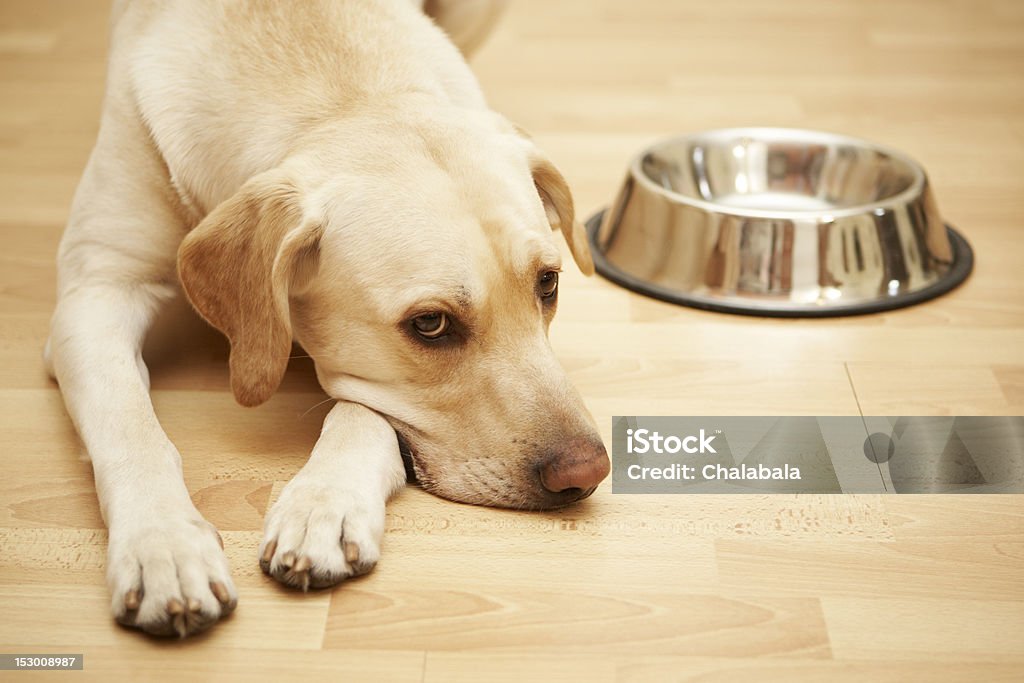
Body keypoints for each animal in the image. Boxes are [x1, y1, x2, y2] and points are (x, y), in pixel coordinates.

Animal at [46, 1, 606, 643]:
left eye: (548, 284)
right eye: (431, 324)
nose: (588, 471)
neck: (341, 94)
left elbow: (362, 412)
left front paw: (324, 505)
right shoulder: (96, 291)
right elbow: (130, 426)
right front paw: (163, 546)